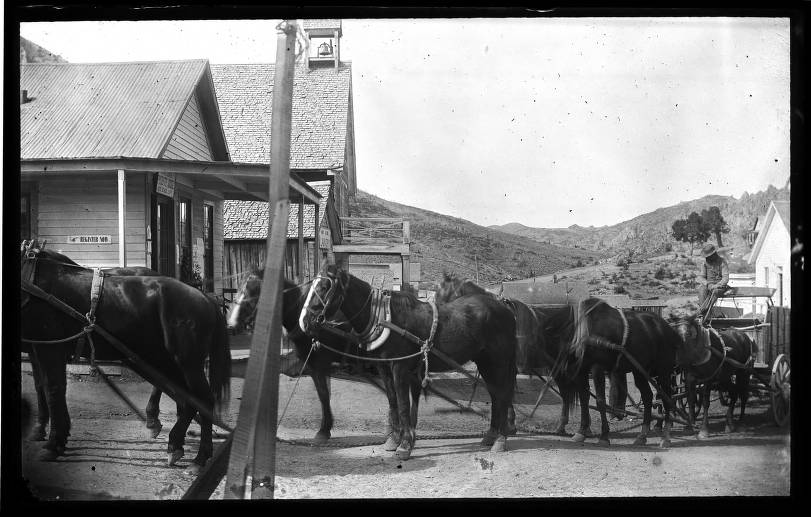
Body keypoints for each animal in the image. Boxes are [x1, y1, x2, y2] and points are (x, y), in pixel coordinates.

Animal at [20, 242, 230, 472]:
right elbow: (42, 386)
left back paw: (196, 456)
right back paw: (177, 442)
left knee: (202, 399)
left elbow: (53, 390)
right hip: (169, 360)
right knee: (185, 396)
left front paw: (53, 444)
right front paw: (47, 434)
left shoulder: (50, 347)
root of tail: (204, 297)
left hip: (186, 362)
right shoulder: (37, 347)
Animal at [225, 268, 372, 442]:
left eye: (254, 292)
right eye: (240, 288)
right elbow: (322, 394)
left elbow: (324, 395)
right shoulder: (306, 364)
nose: (231, 324)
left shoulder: (318, 364)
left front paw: (324, 430)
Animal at [302, 264, 516, 458]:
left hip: (498, 361)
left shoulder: (400, 367)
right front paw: (394, 439)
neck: (386, 318)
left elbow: (404, 403)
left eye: (324, 287)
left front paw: (404, 445)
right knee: (495, 395)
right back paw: (491, 436)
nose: (304, 321)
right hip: (485, 362)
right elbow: (393, 400)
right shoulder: (384, 367)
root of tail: (504, 307)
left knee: (502, 394)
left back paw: (500, 440)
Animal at [560, 298, 680, 448]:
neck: (584, 329)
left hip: (663, 371)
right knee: (648, 397)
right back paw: (642, 435)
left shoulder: (597, 368)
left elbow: (600, 401)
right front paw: (581, 432)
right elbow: (584, 399)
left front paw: (604, 436)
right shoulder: (582, 369)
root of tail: (667, 328)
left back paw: (665, 436)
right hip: (640, 371)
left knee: (667, 397)